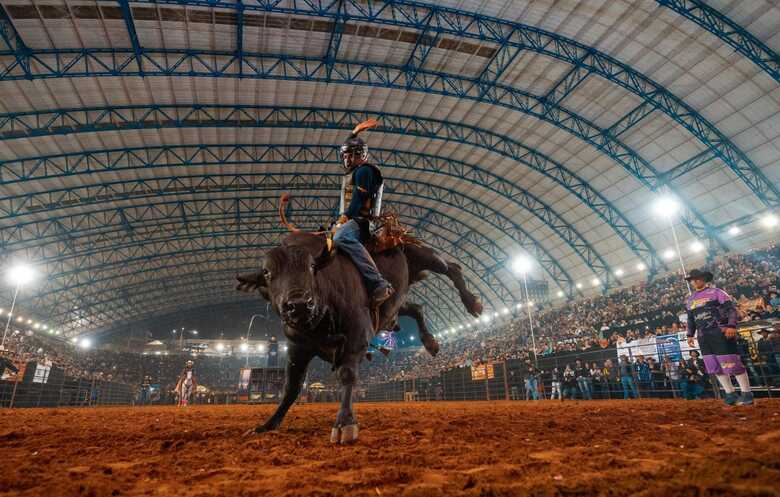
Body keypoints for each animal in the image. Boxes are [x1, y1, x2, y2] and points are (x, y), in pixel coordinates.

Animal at [232, 231, 482, 444]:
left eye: (312, 266)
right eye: (267, 272)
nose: (300, 304)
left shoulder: (357, 335)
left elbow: (347, 374)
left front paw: (344, 424)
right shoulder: (297, 347)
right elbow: (291, 386)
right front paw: (267, 424)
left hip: (423, 254)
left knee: (451, 267)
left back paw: (473, 303)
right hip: (393, 304)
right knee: (415, 308)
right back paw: (431, 343)